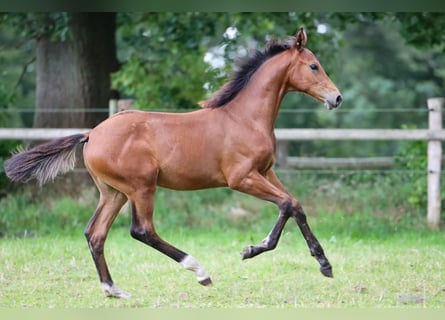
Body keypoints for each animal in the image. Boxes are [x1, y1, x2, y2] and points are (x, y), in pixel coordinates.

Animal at [4, 28, 340, 298]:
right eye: (314, 66)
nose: (336, 98)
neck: (244, 118)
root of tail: (91, 134)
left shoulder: (266, 171)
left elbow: (295, 205)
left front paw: (322, 263)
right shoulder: (242, 177)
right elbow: (286, 204)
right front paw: (253, 250)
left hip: (114, 193)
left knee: (95, 233)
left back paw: (113, 289)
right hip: (141, 187)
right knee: (142, 231)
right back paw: (200, 271)